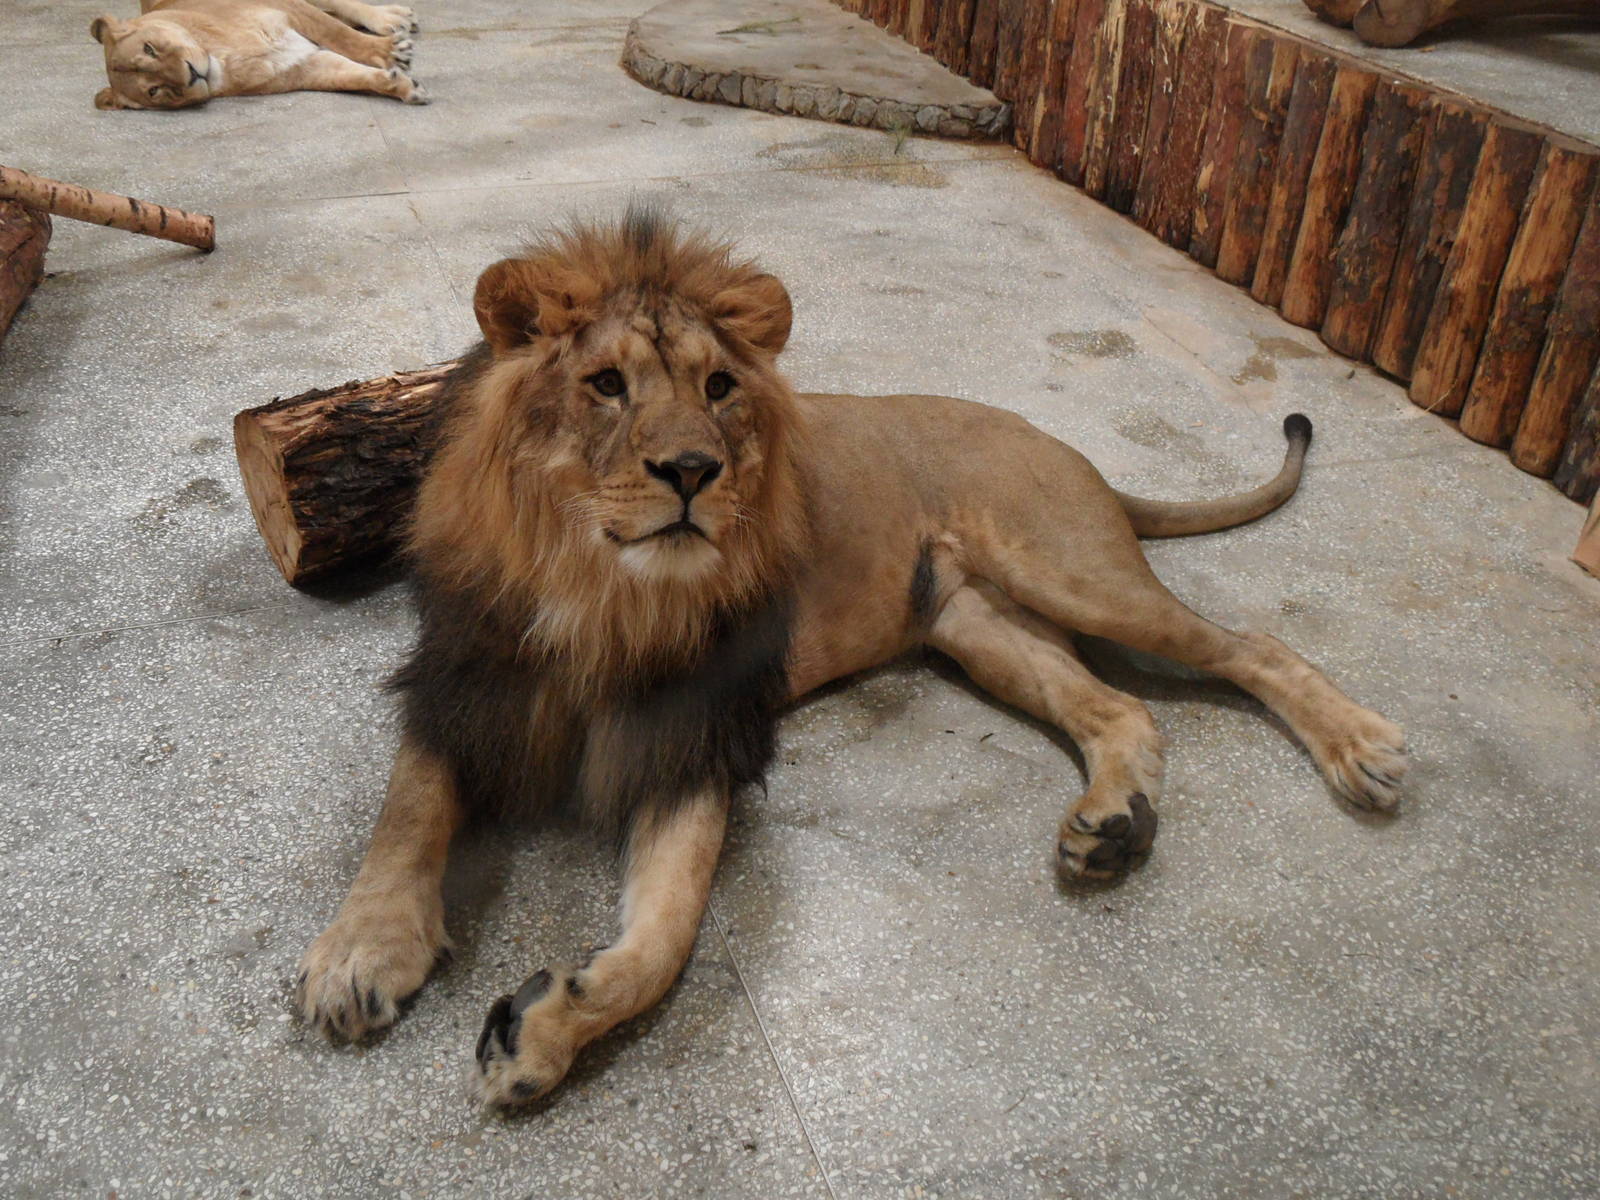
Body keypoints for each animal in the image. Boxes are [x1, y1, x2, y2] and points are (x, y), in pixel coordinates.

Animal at [90, 0, 425, 110]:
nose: (191, 74)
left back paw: (393, 18)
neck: (224, 58)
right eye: (155, 91)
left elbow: (337, 33)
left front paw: (389, 51)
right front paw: (402, 86)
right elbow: (352, 77)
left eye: (150, 48)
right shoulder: (304, 66)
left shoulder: (288, 8)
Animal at [296, 207, 1409, 1107]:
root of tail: (1064, 443)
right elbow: (407, 811)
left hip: (1070, 570)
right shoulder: (462, 682)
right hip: (980, 629)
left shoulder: (696, 735)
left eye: (719, 387)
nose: (692, 470)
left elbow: (665, 940)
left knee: (1248, 645)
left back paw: (1358, 746)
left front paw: (538, 1032)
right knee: (1122, 710)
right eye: (605, 385)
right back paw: (1114, 825)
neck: (603, 586)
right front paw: (361, 953)